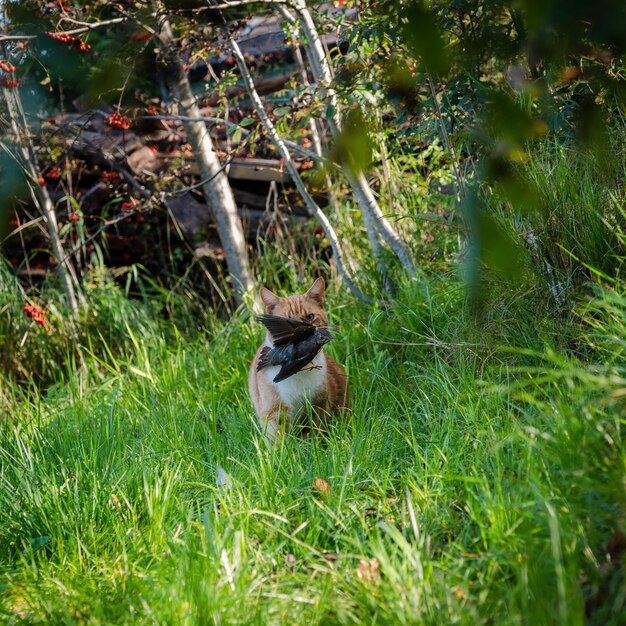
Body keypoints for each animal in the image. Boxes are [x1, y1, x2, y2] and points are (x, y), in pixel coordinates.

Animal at [247, 278, 346, 438]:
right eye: (286, 321)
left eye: (310, 317)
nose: (303, 329)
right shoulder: (275, 413)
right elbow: (279, 441)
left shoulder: (317, 405)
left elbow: (315, 433)